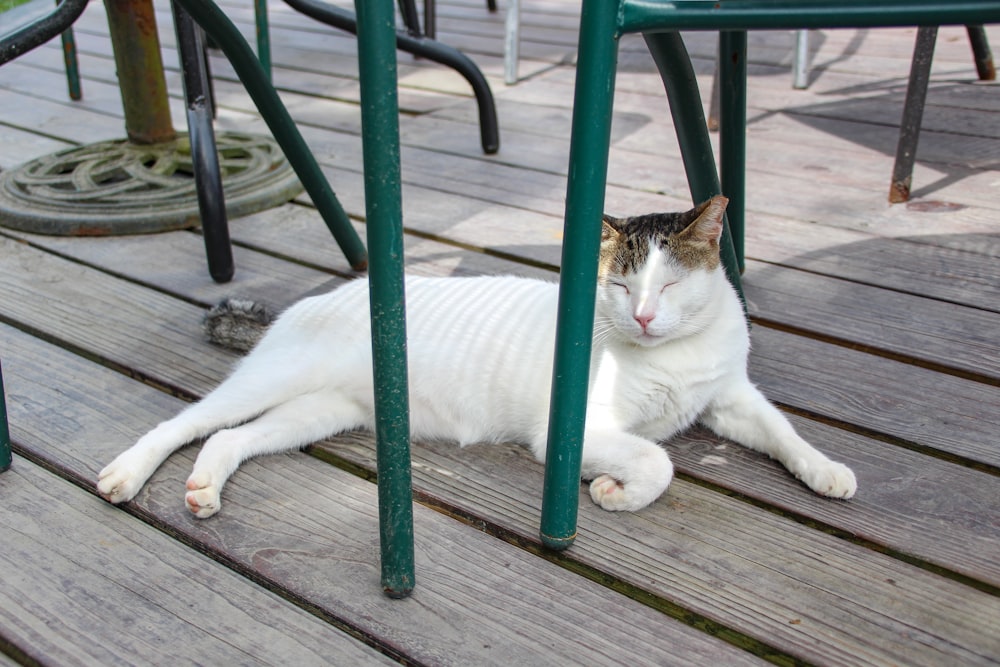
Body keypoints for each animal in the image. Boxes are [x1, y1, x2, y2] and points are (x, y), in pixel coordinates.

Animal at [97, 196, 856, 520]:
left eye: (667, 285)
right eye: (620, 286)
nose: (642, 316)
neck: (675, 351)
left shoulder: (732, 397)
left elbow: (784, 432)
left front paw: (826, 470)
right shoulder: (571, 431)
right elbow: (657, 461)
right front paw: (618, 492)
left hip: (316, 413)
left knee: (227, 440)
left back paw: (204, 488)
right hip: (269, 383)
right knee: (184, 424)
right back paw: (126, 473)